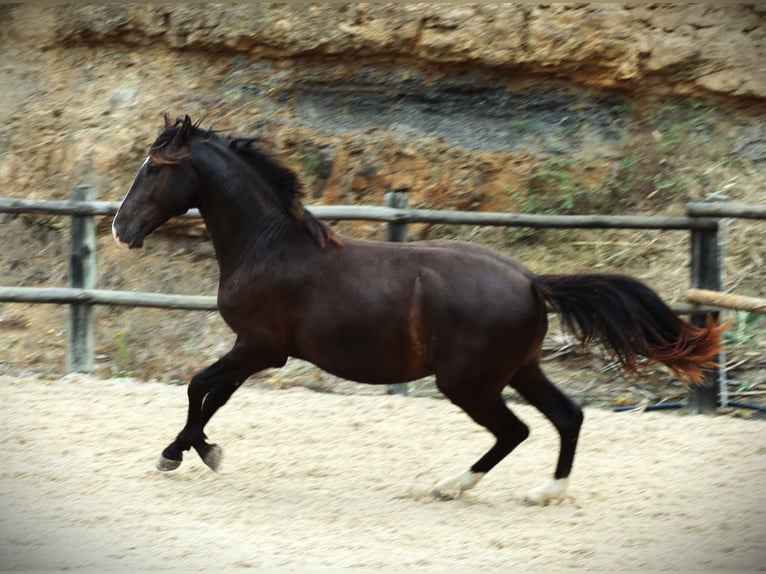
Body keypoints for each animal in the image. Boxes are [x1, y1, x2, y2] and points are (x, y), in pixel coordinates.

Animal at [112, 116, 728, 504]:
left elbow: (199, 386)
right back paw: (544, 493)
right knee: (567, 416)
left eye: (154, 168)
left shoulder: (259, 346)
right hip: (521, 370)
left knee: (516, 430)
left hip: (469, 382)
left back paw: (451, 485)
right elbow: (214, 397)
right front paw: (200, 451)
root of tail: (531, 281)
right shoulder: (259, 351)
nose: (120, 227)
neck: (269, 246)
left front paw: (179, 454)